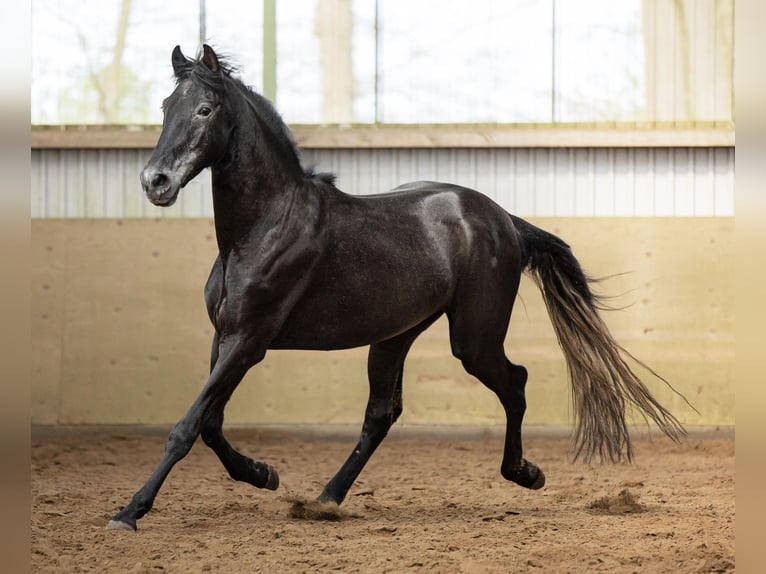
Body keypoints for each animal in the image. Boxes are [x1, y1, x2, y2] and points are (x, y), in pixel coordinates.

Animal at [105, 46, 688, 536]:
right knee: (381, 415)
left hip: (472, 339)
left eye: (205, 109)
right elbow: (210, 424)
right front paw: (263, 473)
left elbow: (187, 426)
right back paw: (326, 499)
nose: (155, 182)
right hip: (395, 335)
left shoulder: (250, 341)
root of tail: (503, 220)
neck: (263, 227)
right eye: (165, 107)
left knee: (514, 383)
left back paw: (524, 472)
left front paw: (129, 513)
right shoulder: (224, 337)